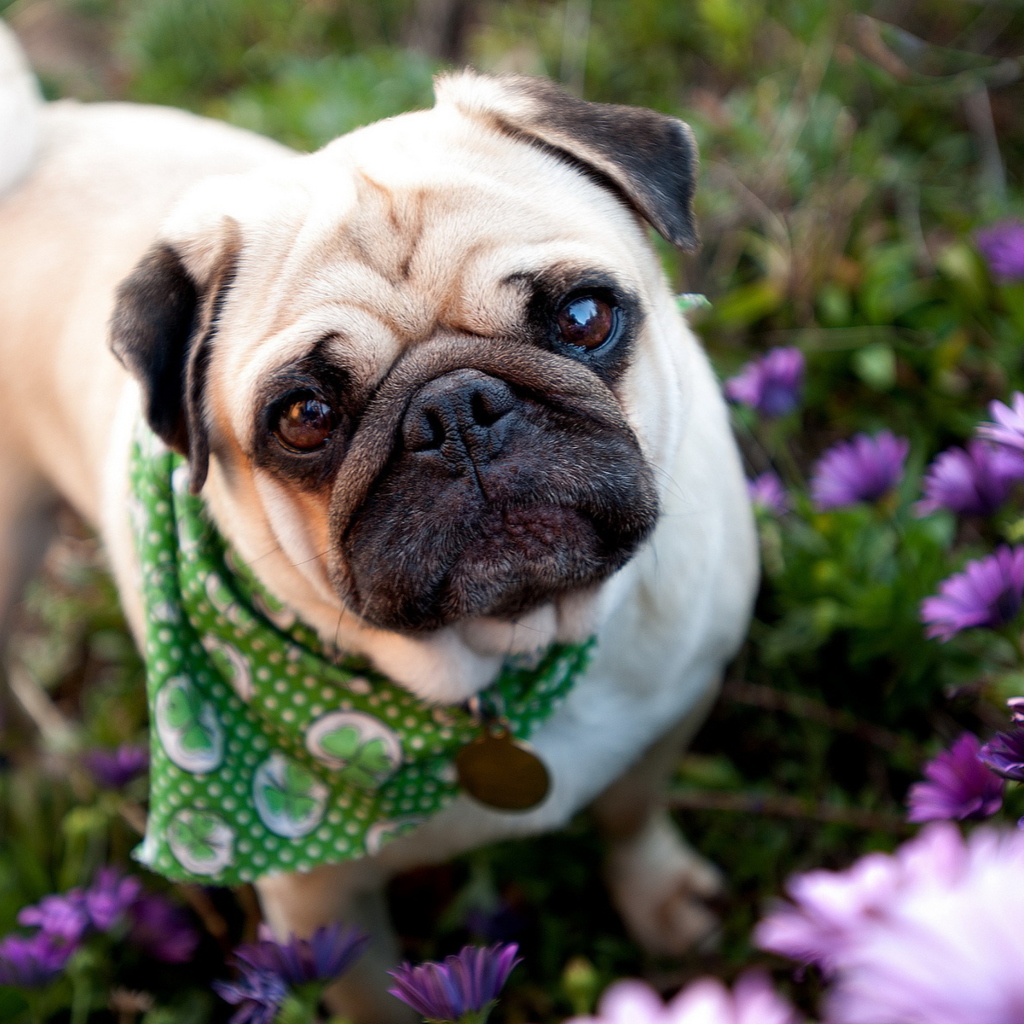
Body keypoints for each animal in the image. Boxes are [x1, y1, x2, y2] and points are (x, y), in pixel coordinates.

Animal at [2, 19, 761, 1019]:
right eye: (304, 416)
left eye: (585, 316)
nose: (456, 412)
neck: (503, 661)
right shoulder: (322, 904)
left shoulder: (674, 706)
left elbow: (632, 815)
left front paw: (662, 900)